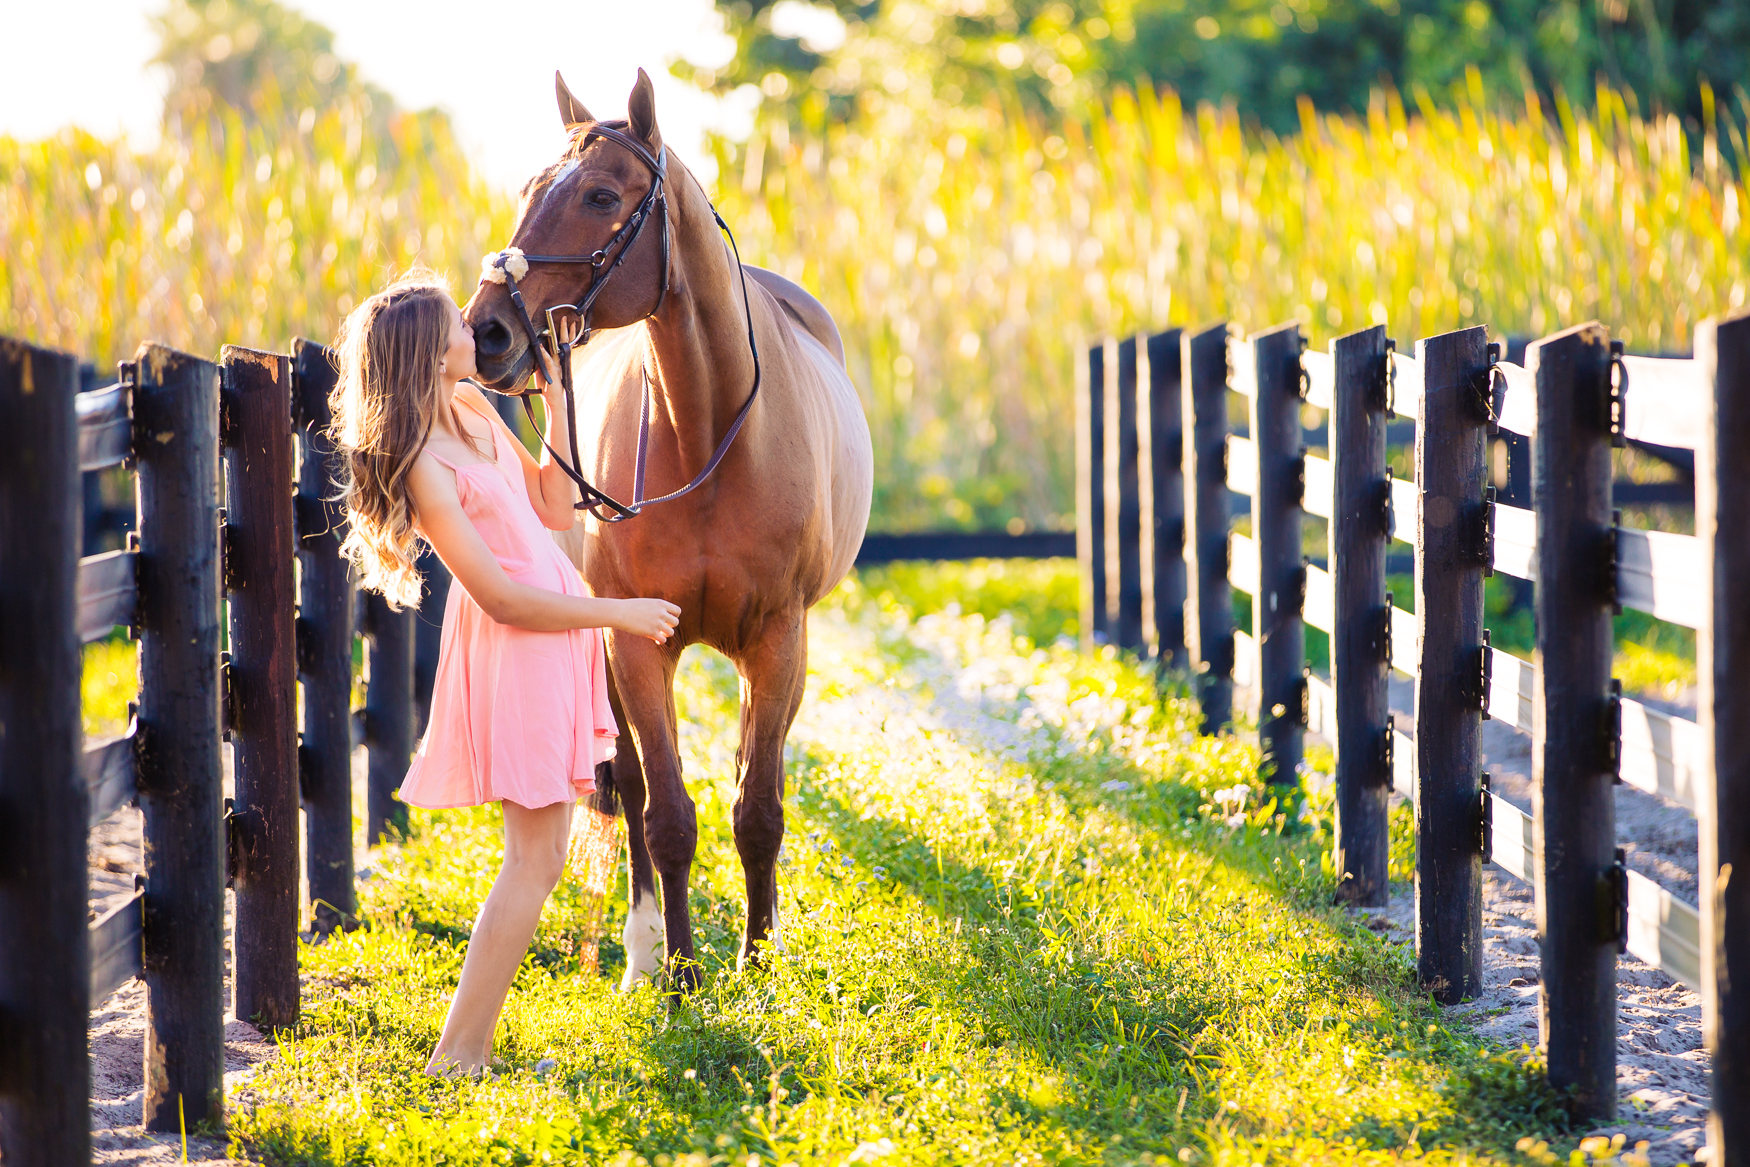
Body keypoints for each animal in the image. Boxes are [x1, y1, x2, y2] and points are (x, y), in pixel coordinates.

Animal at [465, 68, 875, 993]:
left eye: (600, 195)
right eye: (528, 190)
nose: (486, 331)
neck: (711, 430)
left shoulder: (779, 638)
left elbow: (757, 807)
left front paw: (759, 959)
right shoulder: (636, 640)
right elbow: (665, 811)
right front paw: (682, 971)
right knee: (633, 783)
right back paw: (645, 948)